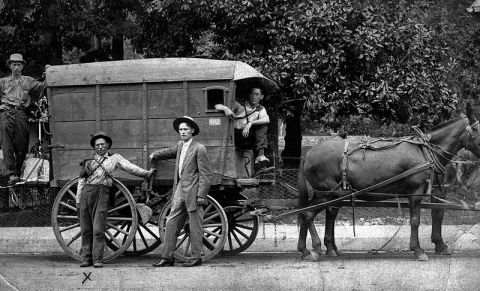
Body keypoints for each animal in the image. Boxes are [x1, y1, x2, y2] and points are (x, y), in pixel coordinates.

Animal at [298, 107, 480, 262]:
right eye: (479, 130)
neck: (428, 152)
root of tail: (308, 154)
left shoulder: (436, 189)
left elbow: (437, 214)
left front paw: (439, 245)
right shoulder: (416, 192)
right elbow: (415, 220)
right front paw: (418, 250)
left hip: (334, 194)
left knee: (318, 213)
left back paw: (316, 248)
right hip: (327, 193)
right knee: (308, 214)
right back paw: (313, 249)